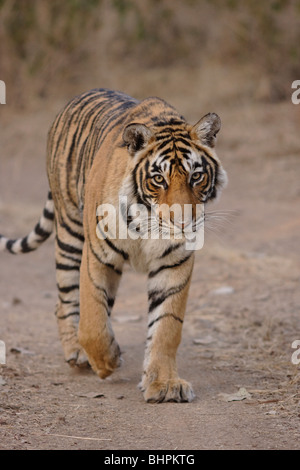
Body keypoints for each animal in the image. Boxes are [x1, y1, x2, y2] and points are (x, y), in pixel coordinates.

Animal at [0, 89, 226, 404]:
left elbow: (166, 327)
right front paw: (107, 361)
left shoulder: (174, 263)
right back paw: (77, 353)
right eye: (159, 179)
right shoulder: (97, 256)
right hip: (69, 231)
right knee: (65, 300)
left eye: (196, 176)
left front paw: (164, 384)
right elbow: (92, 322)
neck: (147, 223)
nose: (182, 223)